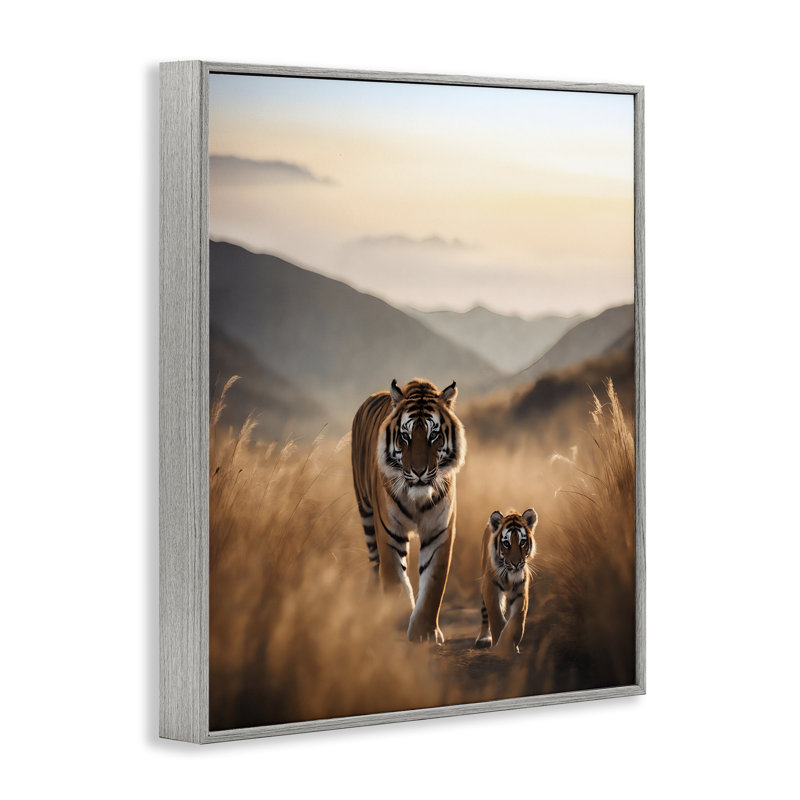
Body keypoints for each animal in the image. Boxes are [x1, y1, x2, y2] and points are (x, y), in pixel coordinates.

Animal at [351, 378, 466, 643]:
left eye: (434, 435)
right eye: (405, 436)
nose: (419, 471)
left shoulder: (439, 533)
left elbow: (433, 585)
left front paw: (424, 632)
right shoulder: (389, 532)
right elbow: (395, 579)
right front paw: (398, 622)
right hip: (366, 513)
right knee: (374, 565)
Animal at [474, 508, 538, 655]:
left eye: (522, 542)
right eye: (506, 543)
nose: (516, 563)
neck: (510, 575)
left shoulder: (520, 592)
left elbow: (516, 621)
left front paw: (508, 646)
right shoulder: (490, 587)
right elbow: (496, 617)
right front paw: (499, 647)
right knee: (485, 613)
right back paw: (483, 638)